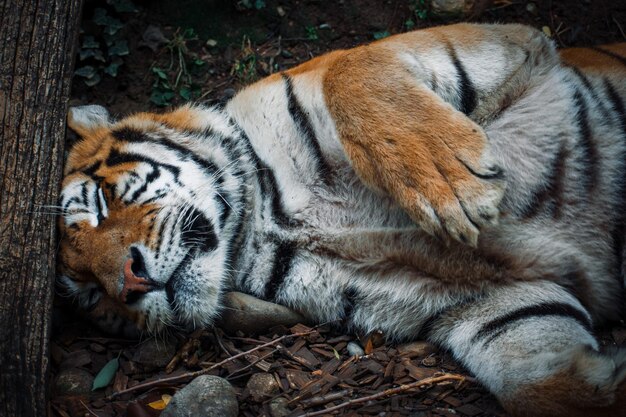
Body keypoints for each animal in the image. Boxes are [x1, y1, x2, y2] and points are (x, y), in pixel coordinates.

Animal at [57, 24, 624, 416]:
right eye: (91, 294)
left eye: (102, 202)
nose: (128, 283)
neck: (261, 225)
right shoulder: (483, 299)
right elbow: (541, 384)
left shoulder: (509, 40)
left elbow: (351, 69)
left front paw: (451, 183)